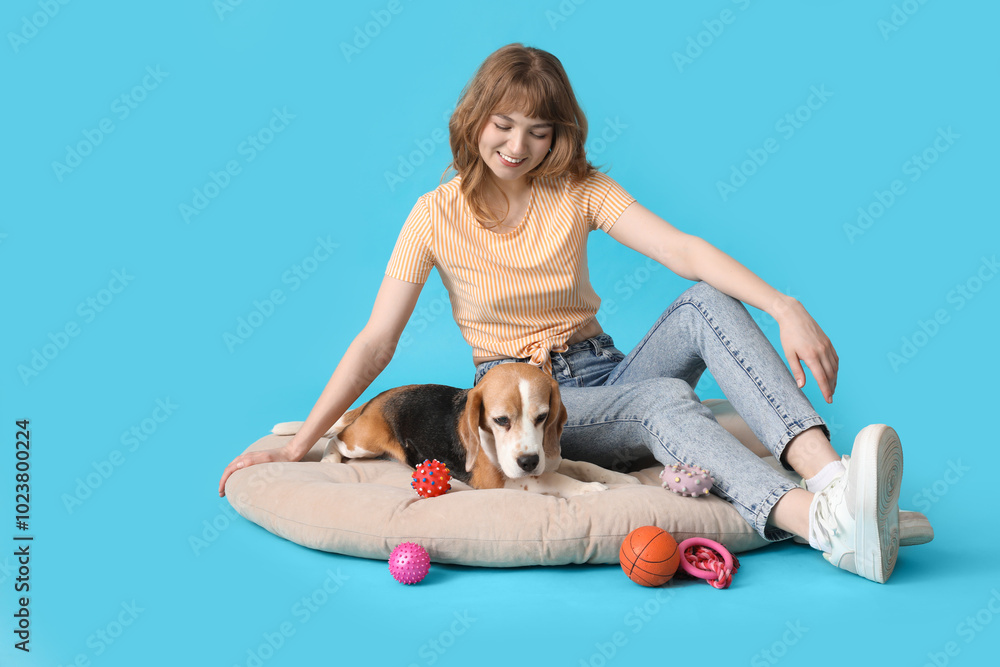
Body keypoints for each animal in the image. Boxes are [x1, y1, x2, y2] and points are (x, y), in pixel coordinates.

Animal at [270, 362, 636, 498]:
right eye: (501, 420)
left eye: (543, 417)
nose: (529, 461)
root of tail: (378, 396)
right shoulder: (498, 482)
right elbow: (553, 480)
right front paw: (590, 490)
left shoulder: (549, 456)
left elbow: (579, 465)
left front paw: (616, 478)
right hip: (364, 442)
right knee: (336, 438)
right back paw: (330, 460)